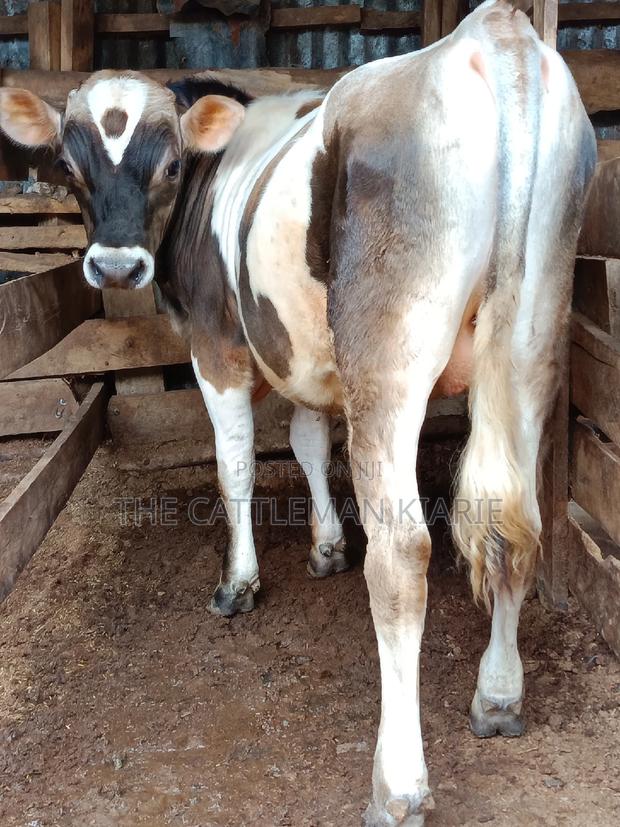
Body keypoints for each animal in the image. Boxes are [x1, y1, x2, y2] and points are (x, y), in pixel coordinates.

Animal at [0, 2, 596, 823]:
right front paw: (325, 545)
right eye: (70, 163)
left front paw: (240, 582)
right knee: (515, 521)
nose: (116, 267)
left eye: (170, 164)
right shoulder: (302, 353)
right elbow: (310, 439)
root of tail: (493, 33)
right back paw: (499, 697)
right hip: (533, 339)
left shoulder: (218, 342)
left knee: (404, 553)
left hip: (390, 355)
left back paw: (397, 783)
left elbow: (238, 468)